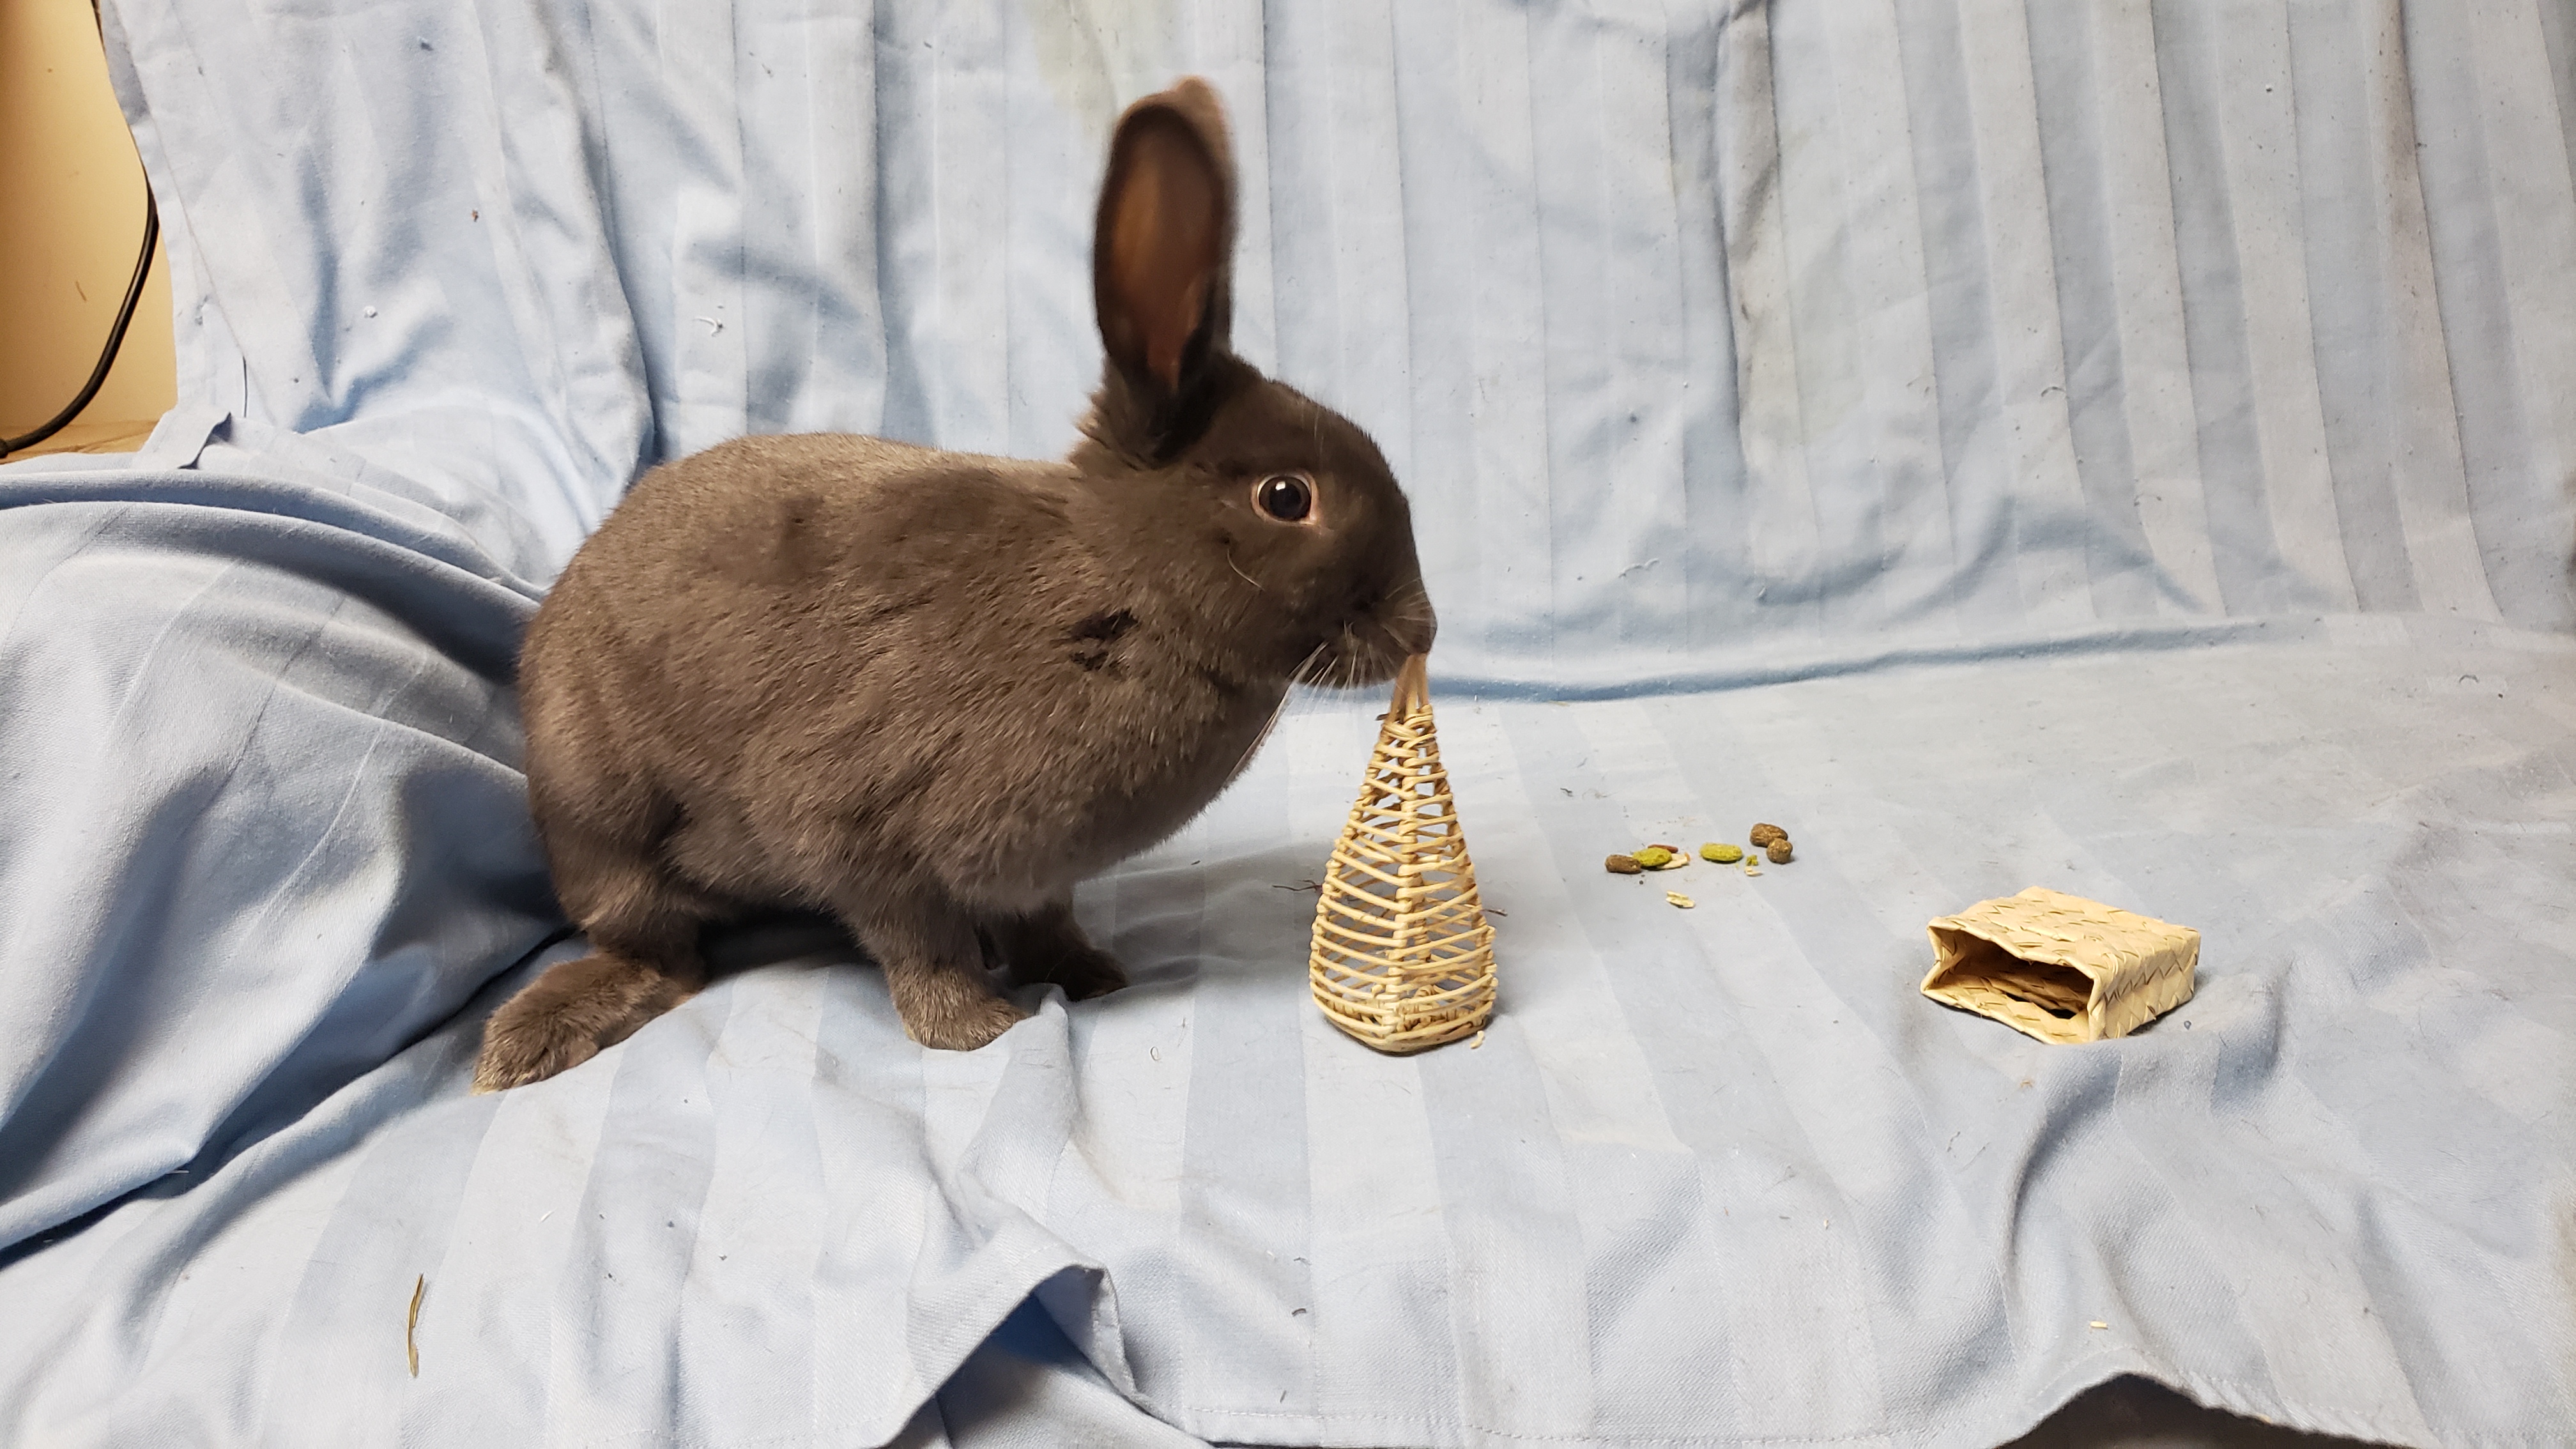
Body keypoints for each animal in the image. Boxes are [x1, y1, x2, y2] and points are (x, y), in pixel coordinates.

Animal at [472, 77, 1436, 1092]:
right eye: (1287, 497)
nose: (1423, 628)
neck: (1120, 589)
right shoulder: (858, 832)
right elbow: (918, 941)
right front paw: (977, 1030)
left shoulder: (1034, 873)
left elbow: (1043, 921)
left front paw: (1093, 977)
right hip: (605, 829)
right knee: (660, 954)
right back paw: (530, 1043)